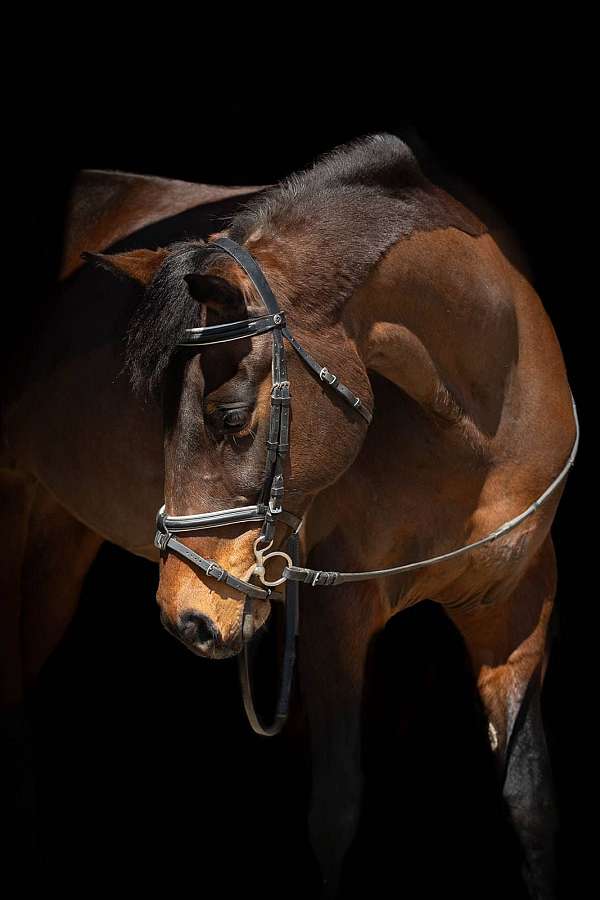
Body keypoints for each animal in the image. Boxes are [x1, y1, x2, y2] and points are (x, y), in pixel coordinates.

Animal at [1, 136, 577, 899]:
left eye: (229, 416)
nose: (185, 617)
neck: (482, 433)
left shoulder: (515, 612)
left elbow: (531, 803)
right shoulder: (336, 618)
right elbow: (336, 813)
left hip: (59, 536)